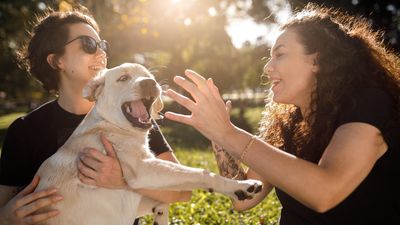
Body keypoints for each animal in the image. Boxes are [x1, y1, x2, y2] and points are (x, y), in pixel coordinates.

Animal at [34, 62, 262, 225]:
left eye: (150, 77)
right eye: (123, 78)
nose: (150, 83)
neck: (109, 125)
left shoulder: (135, 197)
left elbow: (165, 200)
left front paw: (160, 215)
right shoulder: (143, 170)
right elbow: (200, 173)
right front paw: (240, 186)